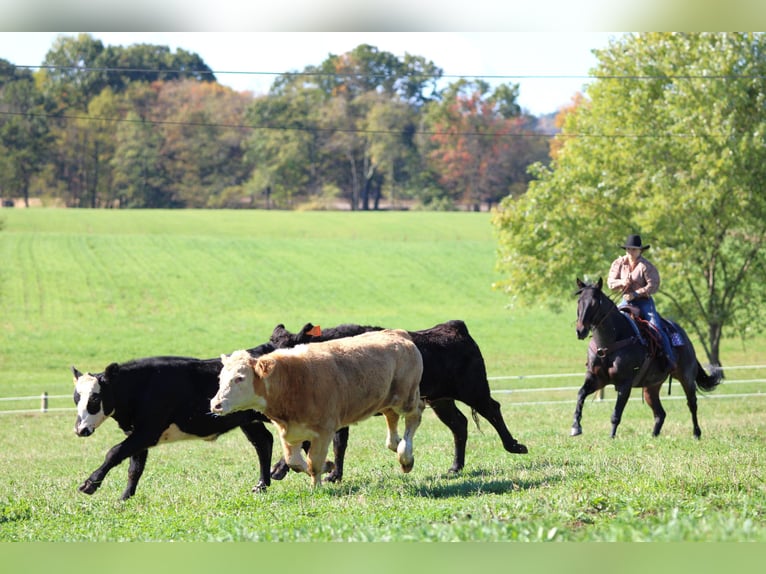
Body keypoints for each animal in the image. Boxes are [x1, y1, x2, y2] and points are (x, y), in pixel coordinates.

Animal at [572, 277, 722, 439]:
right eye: (579, 301)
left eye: (595, 302)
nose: (580, 330)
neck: (608, 345)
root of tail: (685, 338)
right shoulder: (597, 379)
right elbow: (580, 394)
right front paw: (576, 427)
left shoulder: (625, 384)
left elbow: (616, 414)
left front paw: (611, 437)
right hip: (651, 387)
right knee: (660, 413)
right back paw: (654, 436)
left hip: (686, 377)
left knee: (692, 404)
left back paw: (696, 433)